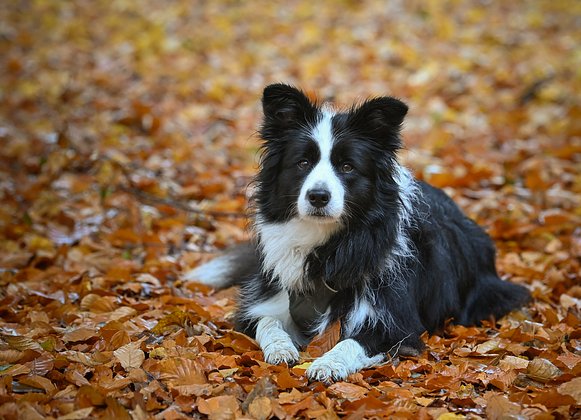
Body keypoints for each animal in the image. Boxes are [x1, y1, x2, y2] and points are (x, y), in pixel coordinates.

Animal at [182, 83, 532, 382]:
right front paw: (281, 348)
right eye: (303, 162)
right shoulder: (263, 301)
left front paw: (327, 364)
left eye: (347, 167)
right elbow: (267, 321)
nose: (318, 197)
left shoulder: (395, 325)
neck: (328, 244)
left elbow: (351, 342)